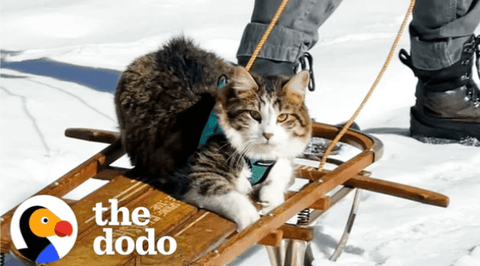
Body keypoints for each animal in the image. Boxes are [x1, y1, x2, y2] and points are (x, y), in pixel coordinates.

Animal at [115, 37, 314, 231]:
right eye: (254, 114)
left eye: (283, 117)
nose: (268, 135)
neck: (258, 156)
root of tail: (170, 47)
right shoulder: (197, 174)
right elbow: (233, 198)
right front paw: (251, 220)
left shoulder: (281, 159)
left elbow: (281, 170)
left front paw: (271, 199)